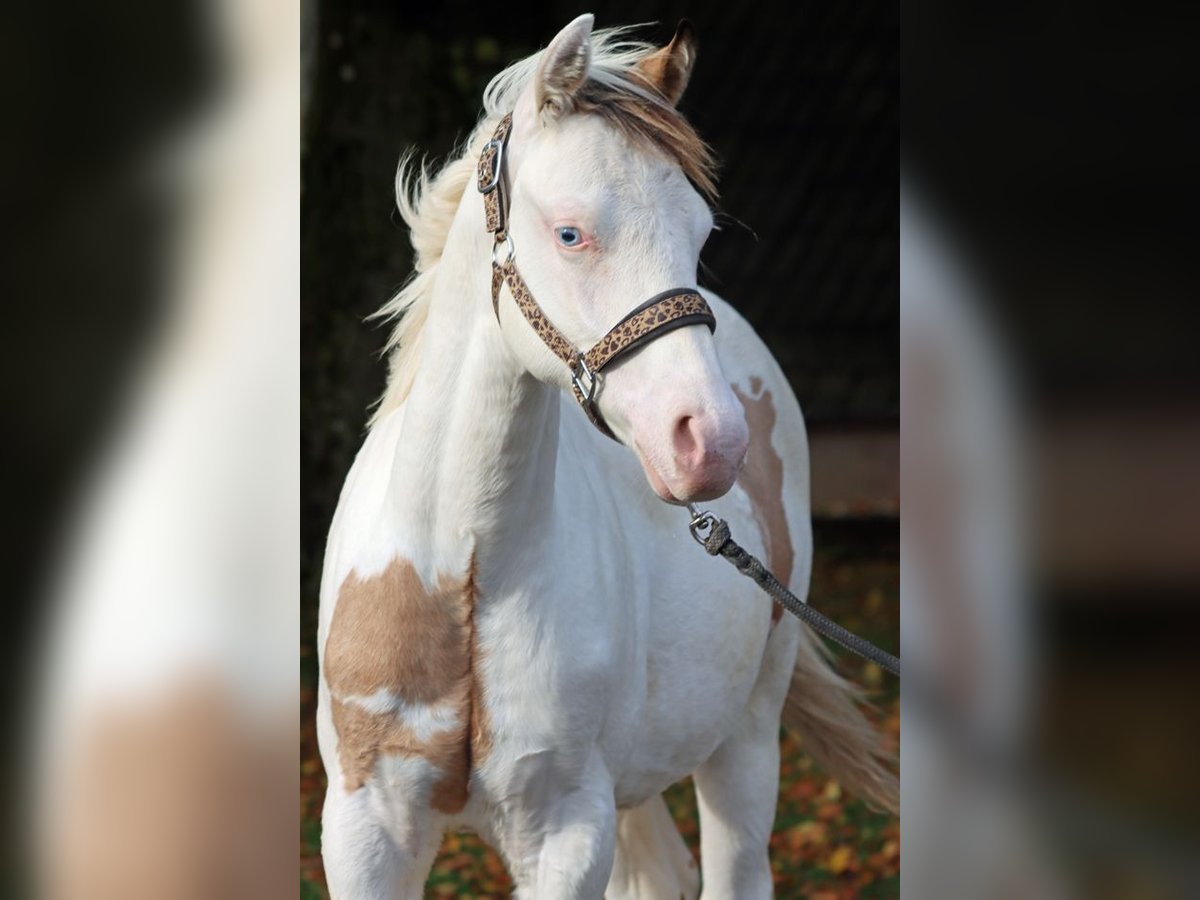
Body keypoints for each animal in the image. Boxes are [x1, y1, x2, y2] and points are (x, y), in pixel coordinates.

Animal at [317, 16, 897, 898]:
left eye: (700, 232)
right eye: (570, 232)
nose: (711, 440)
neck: (460, 573)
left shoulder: (565, 830)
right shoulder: (364, 831)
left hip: (744, 741)